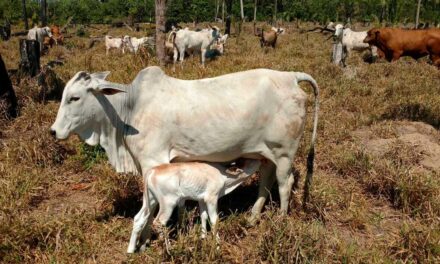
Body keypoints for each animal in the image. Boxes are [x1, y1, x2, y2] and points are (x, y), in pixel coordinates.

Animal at [50, 67, 320, 243]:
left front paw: (146, 239)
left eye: (74, 97)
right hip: (265, 152)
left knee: (285, 184)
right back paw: (253, 218)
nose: (53, 131)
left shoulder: (153, 162)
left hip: (284, 153)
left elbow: (151, 207)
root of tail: (290, 77)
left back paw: (282, 222)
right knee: (265, 179)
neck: (129, 108)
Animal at [127, 158, 262, 253]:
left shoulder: (201, 199)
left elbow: (203, 216)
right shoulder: (211, 198)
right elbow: (215, 220)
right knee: (159, 222)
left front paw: (203, 238)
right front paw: (218, 246)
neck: (223, 176)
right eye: (251, 160)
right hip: (168, 203)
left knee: (139, 218)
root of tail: (152, 171)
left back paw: (130, 250)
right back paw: (169, 249)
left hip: (150, 200)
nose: (262, 159)